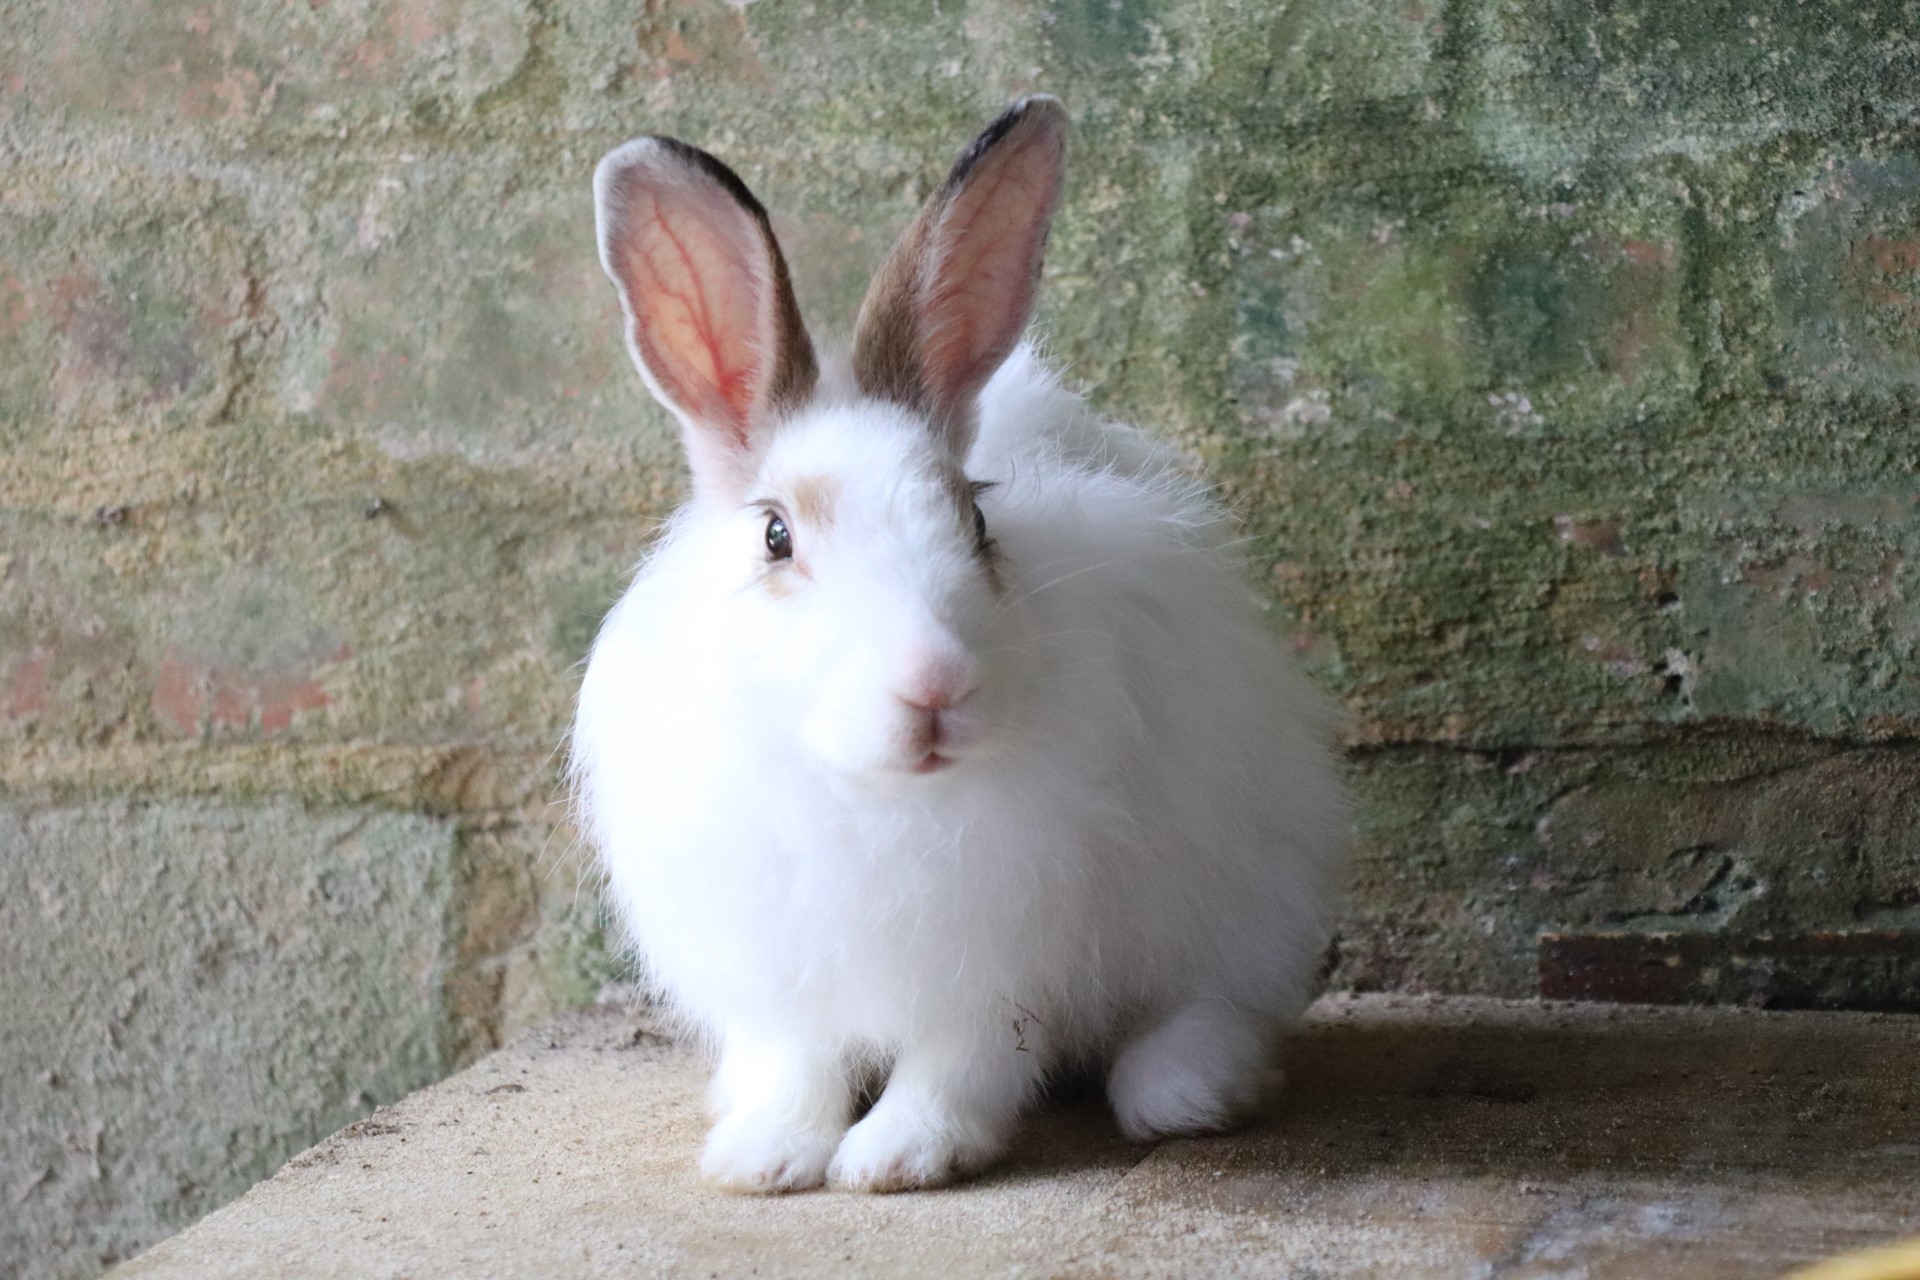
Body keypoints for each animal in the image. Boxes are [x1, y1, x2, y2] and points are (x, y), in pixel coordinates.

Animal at [568, 94, 1351, 1197]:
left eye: (976, 524)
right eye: (776, 537)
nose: (935, 687)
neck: (867, 794)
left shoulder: (1001, 964)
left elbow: (962, 1062)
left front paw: (900, 1155)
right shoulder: (776, 967)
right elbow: (796, 1065)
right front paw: (766, 1157)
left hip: (1238, 899)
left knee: (1215, 1004)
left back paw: (1182, 1092)